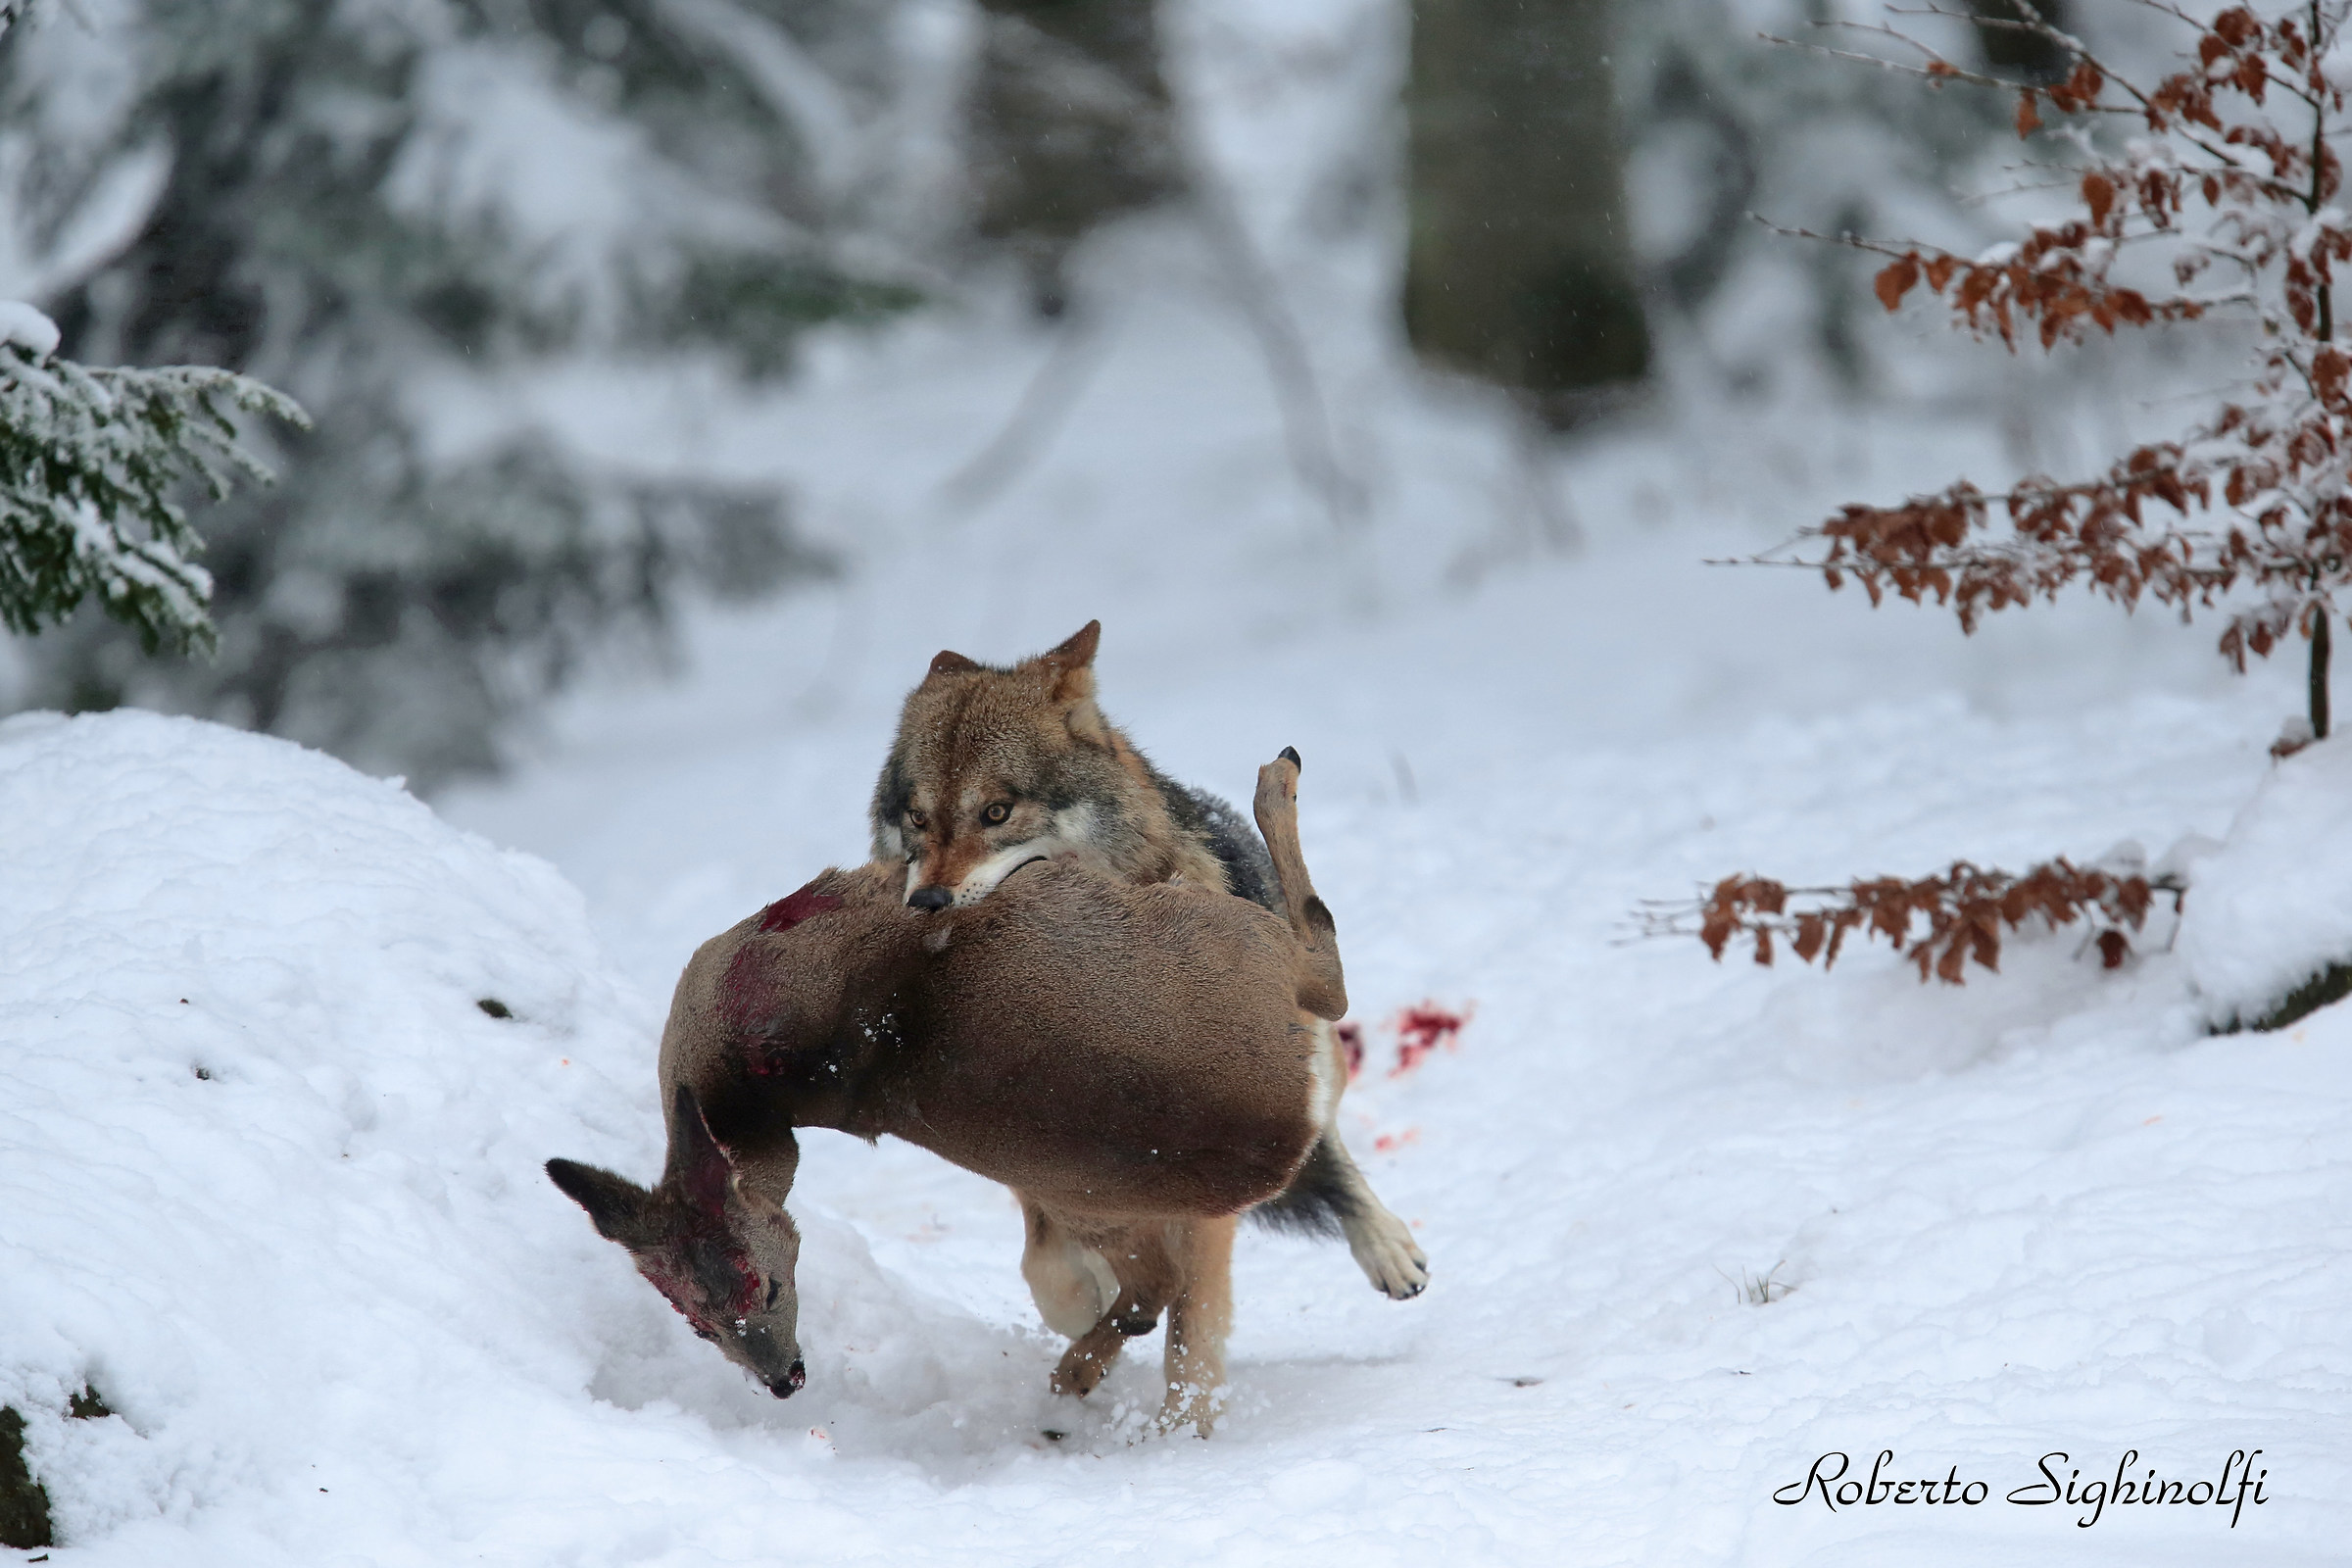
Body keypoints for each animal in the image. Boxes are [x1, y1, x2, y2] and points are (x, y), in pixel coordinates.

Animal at [546, 749, 1408, 1434]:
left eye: (768, 1283)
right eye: (695, 1323)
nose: (784, 1379)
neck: (745, 1086)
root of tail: (1283, 1128)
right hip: (1224, 951)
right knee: (1323, 963)